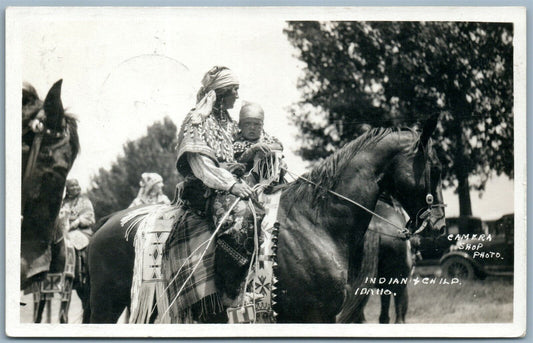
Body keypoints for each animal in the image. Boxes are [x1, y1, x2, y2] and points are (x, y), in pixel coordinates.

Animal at [88, 117, 444, 322]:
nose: (439, 225)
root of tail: (107, 222)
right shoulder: (313, 317)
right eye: (436, 168)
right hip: (105, 304)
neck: (315, 223)